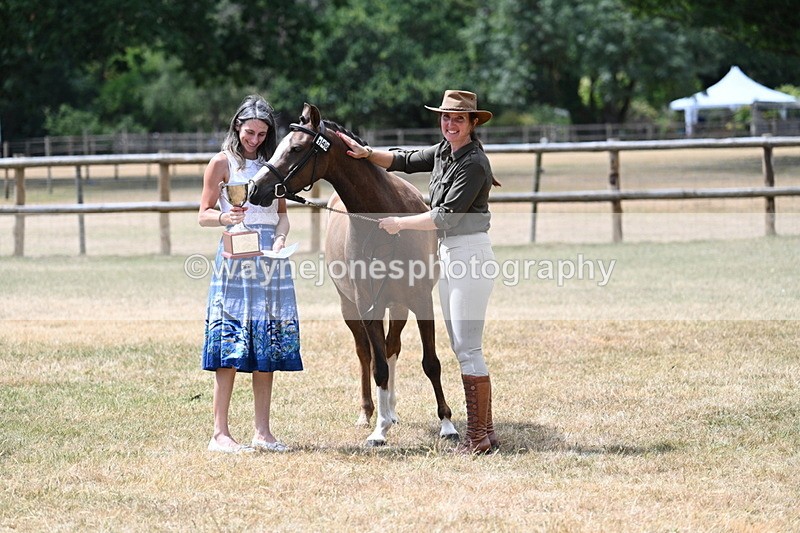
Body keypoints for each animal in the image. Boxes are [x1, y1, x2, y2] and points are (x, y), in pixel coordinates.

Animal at [249, 103, 458, 446]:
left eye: (295, 148)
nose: (255, 188)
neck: (385, 224)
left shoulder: (420, 302)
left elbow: (431, 363)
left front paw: (447, 424)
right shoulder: (367, 306)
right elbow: (378, 367)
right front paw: (379, 430)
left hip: (397, 307)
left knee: (391, 348)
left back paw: (392, 410)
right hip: (351, 308)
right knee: (366, 355)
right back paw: (370, 413)